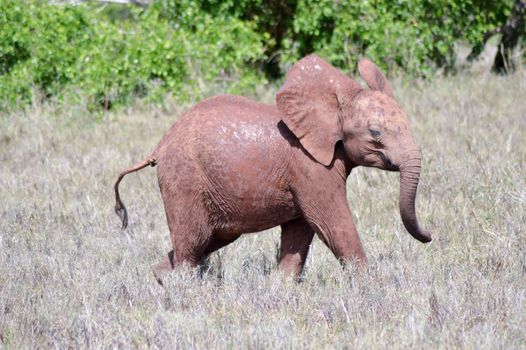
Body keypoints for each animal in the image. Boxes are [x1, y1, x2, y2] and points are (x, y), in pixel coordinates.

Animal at [115, 55, 434, 284]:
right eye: (375, 133)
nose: (431, 235)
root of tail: (159, 145)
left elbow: (300, 231)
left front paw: (281, 289)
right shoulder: (310, 166)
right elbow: (333, 223)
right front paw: (370, 289)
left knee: (207, 240)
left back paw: (161, 278)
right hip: (183, 178)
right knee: (192, 242)